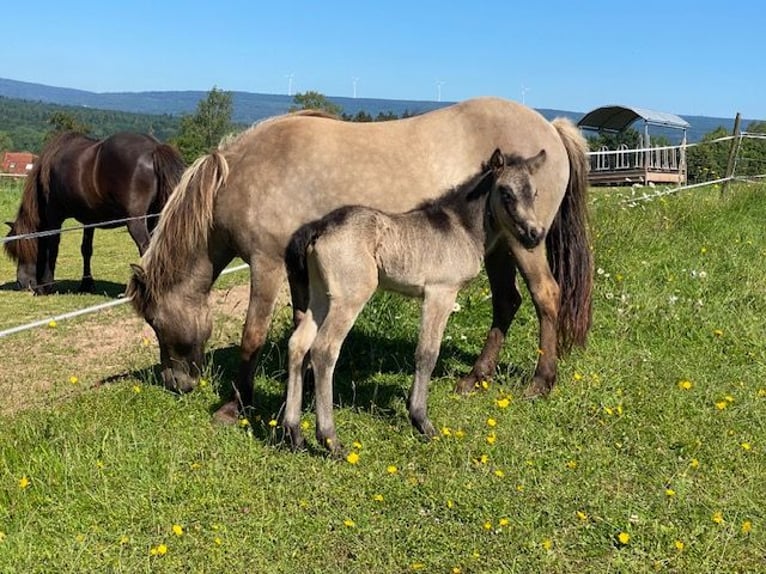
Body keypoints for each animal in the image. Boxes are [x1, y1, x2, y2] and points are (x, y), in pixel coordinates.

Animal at [4, 130, 186, 292]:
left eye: (19, 251)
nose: (22, 283)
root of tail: (154, 148)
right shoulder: (89, 220)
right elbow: (86, 249)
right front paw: (86, 284)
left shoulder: (54, 216)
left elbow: (52, 247)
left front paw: (46, 286)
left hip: (136, 221)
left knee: (146, 247)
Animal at [284, 148, 548, 454]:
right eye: (506, 193)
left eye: (535, 193)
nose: (535, 234)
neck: (460, 227)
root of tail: (320, 227)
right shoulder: (440, 293)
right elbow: (427, 353)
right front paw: (421, 421)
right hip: (350, 297)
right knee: (324, 349)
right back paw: (330, 440)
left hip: (321, 295)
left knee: (298, 344)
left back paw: (294, 434)